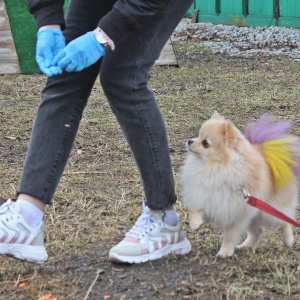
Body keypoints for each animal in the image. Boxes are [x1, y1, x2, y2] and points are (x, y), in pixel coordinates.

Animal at [180, 112, 300, 258]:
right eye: (198, 135)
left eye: (205, 143)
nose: (190, 141)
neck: (215, 167)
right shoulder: (211, 201)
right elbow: (197, 210)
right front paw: (195, 223)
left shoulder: (236, 213)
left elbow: (229, 236)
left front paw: (224, 252)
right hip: (255, 212)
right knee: (257, 230)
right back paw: (246, 246)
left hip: (270, 209)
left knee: (284, 220)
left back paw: (288, 239)